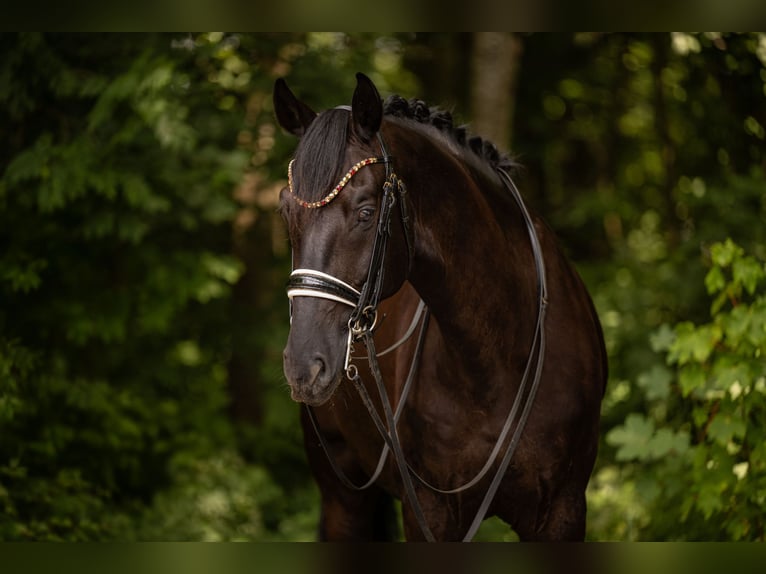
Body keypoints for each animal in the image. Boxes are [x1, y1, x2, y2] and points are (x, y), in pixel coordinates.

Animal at [274, 72, 607, 541]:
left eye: (366, 212)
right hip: (343, 497)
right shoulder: (428, 512)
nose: (304, 365)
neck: (499, 353)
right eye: (285, 211)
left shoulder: (563, 510)